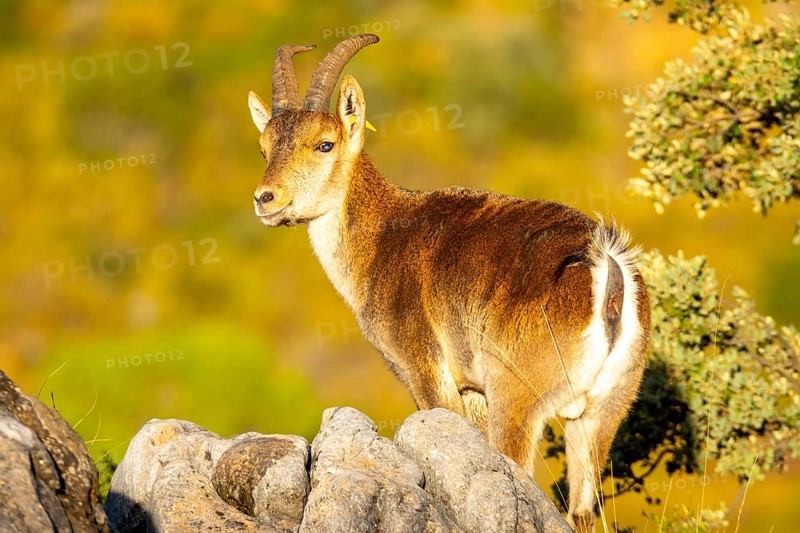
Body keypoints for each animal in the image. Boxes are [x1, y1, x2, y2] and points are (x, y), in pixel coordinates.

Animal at [247, 34, 650, 532]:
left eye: (324, 144)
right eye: (264, 147)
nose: (266, 199)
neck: (383, 237)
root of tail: (607, 269)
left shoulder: (427, 372)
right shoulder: (472, 391)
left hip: (519, 398)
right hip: (607, 408)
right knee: (583, 510)